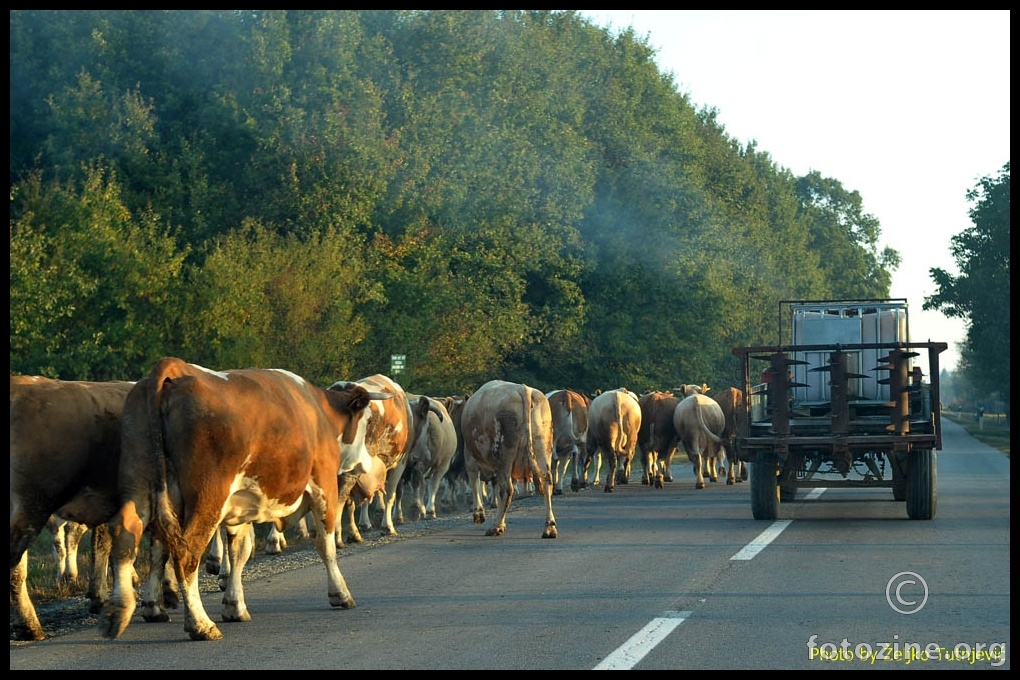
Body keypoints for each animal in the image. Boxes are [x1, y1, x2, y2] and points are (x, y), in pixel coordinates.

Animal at [101, 358, 389, 640]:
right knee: (186, 553)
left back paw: (121, 612)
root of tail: (171, 369)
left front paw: (233, 606)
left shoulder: (239, 507)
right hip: (208, 497)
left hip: (139, 483)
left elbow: (239, 551)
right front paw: (340, 593)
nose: (363, 466)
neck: (319, 412)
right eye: (366, 422)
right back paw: (200, 624)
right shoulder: (323, 484)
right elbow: (325, 545)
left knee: (127, 534)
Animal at [463, 381, 558, 538]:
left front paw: (479, 514)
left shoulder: (470, 457)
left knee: (507, 489)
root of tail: (523, 389)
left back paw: (495, 527)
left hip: (504, 454)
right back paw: (549, 528)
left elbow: (475, 483)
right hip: (542, 447)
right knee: (547, 483)